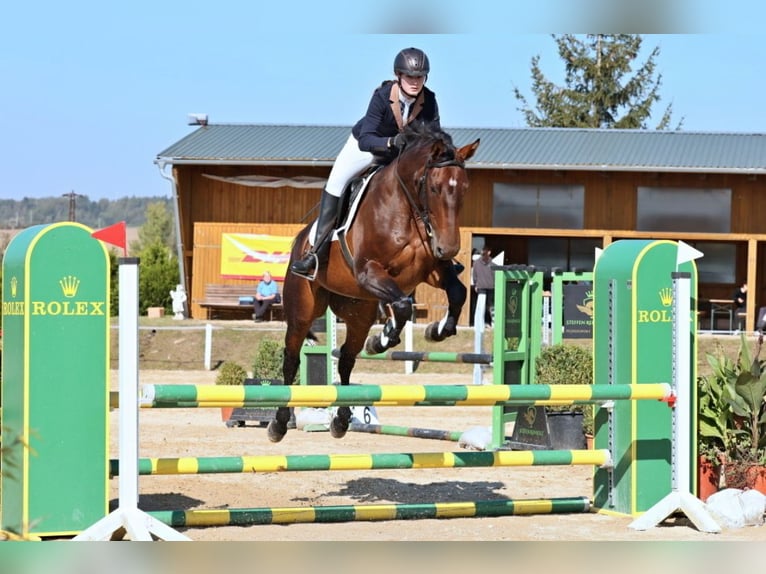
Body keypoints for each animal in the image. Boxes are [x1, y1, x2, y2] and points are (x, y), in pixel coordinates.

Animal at [268, 122, 480, 442]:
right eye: (434, 187)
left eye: (465, 188)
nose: (448, 248)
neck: (407, 209)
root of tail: (301, 240)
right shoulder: (369, 272)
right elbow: (403, 305)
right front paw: (386, 337)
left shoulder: (429, 271)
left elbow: (456, 292)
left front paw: (437, 330)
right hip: (302, 310)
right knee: (292, 358)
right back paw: (279, 424)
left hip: (358, 312)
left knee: (346, 358)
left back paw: (342, 420)